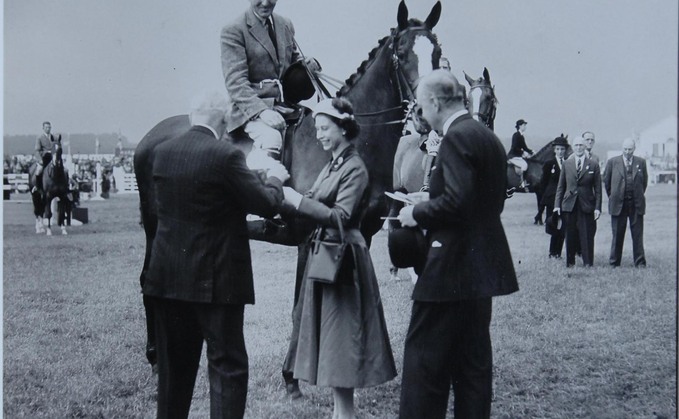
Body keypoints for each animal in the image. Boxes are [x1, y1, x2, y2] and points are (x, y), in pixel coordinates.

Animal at [135, 0, 446, 368]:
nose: (426, 115)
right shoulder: (307, 241)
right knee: (148, 281)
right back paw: (155, 354)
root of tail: (151, 136)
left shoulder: (361, 236)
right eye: (401, 52)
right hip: (155, 227)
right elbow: (301, 306)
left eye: (437, 53)